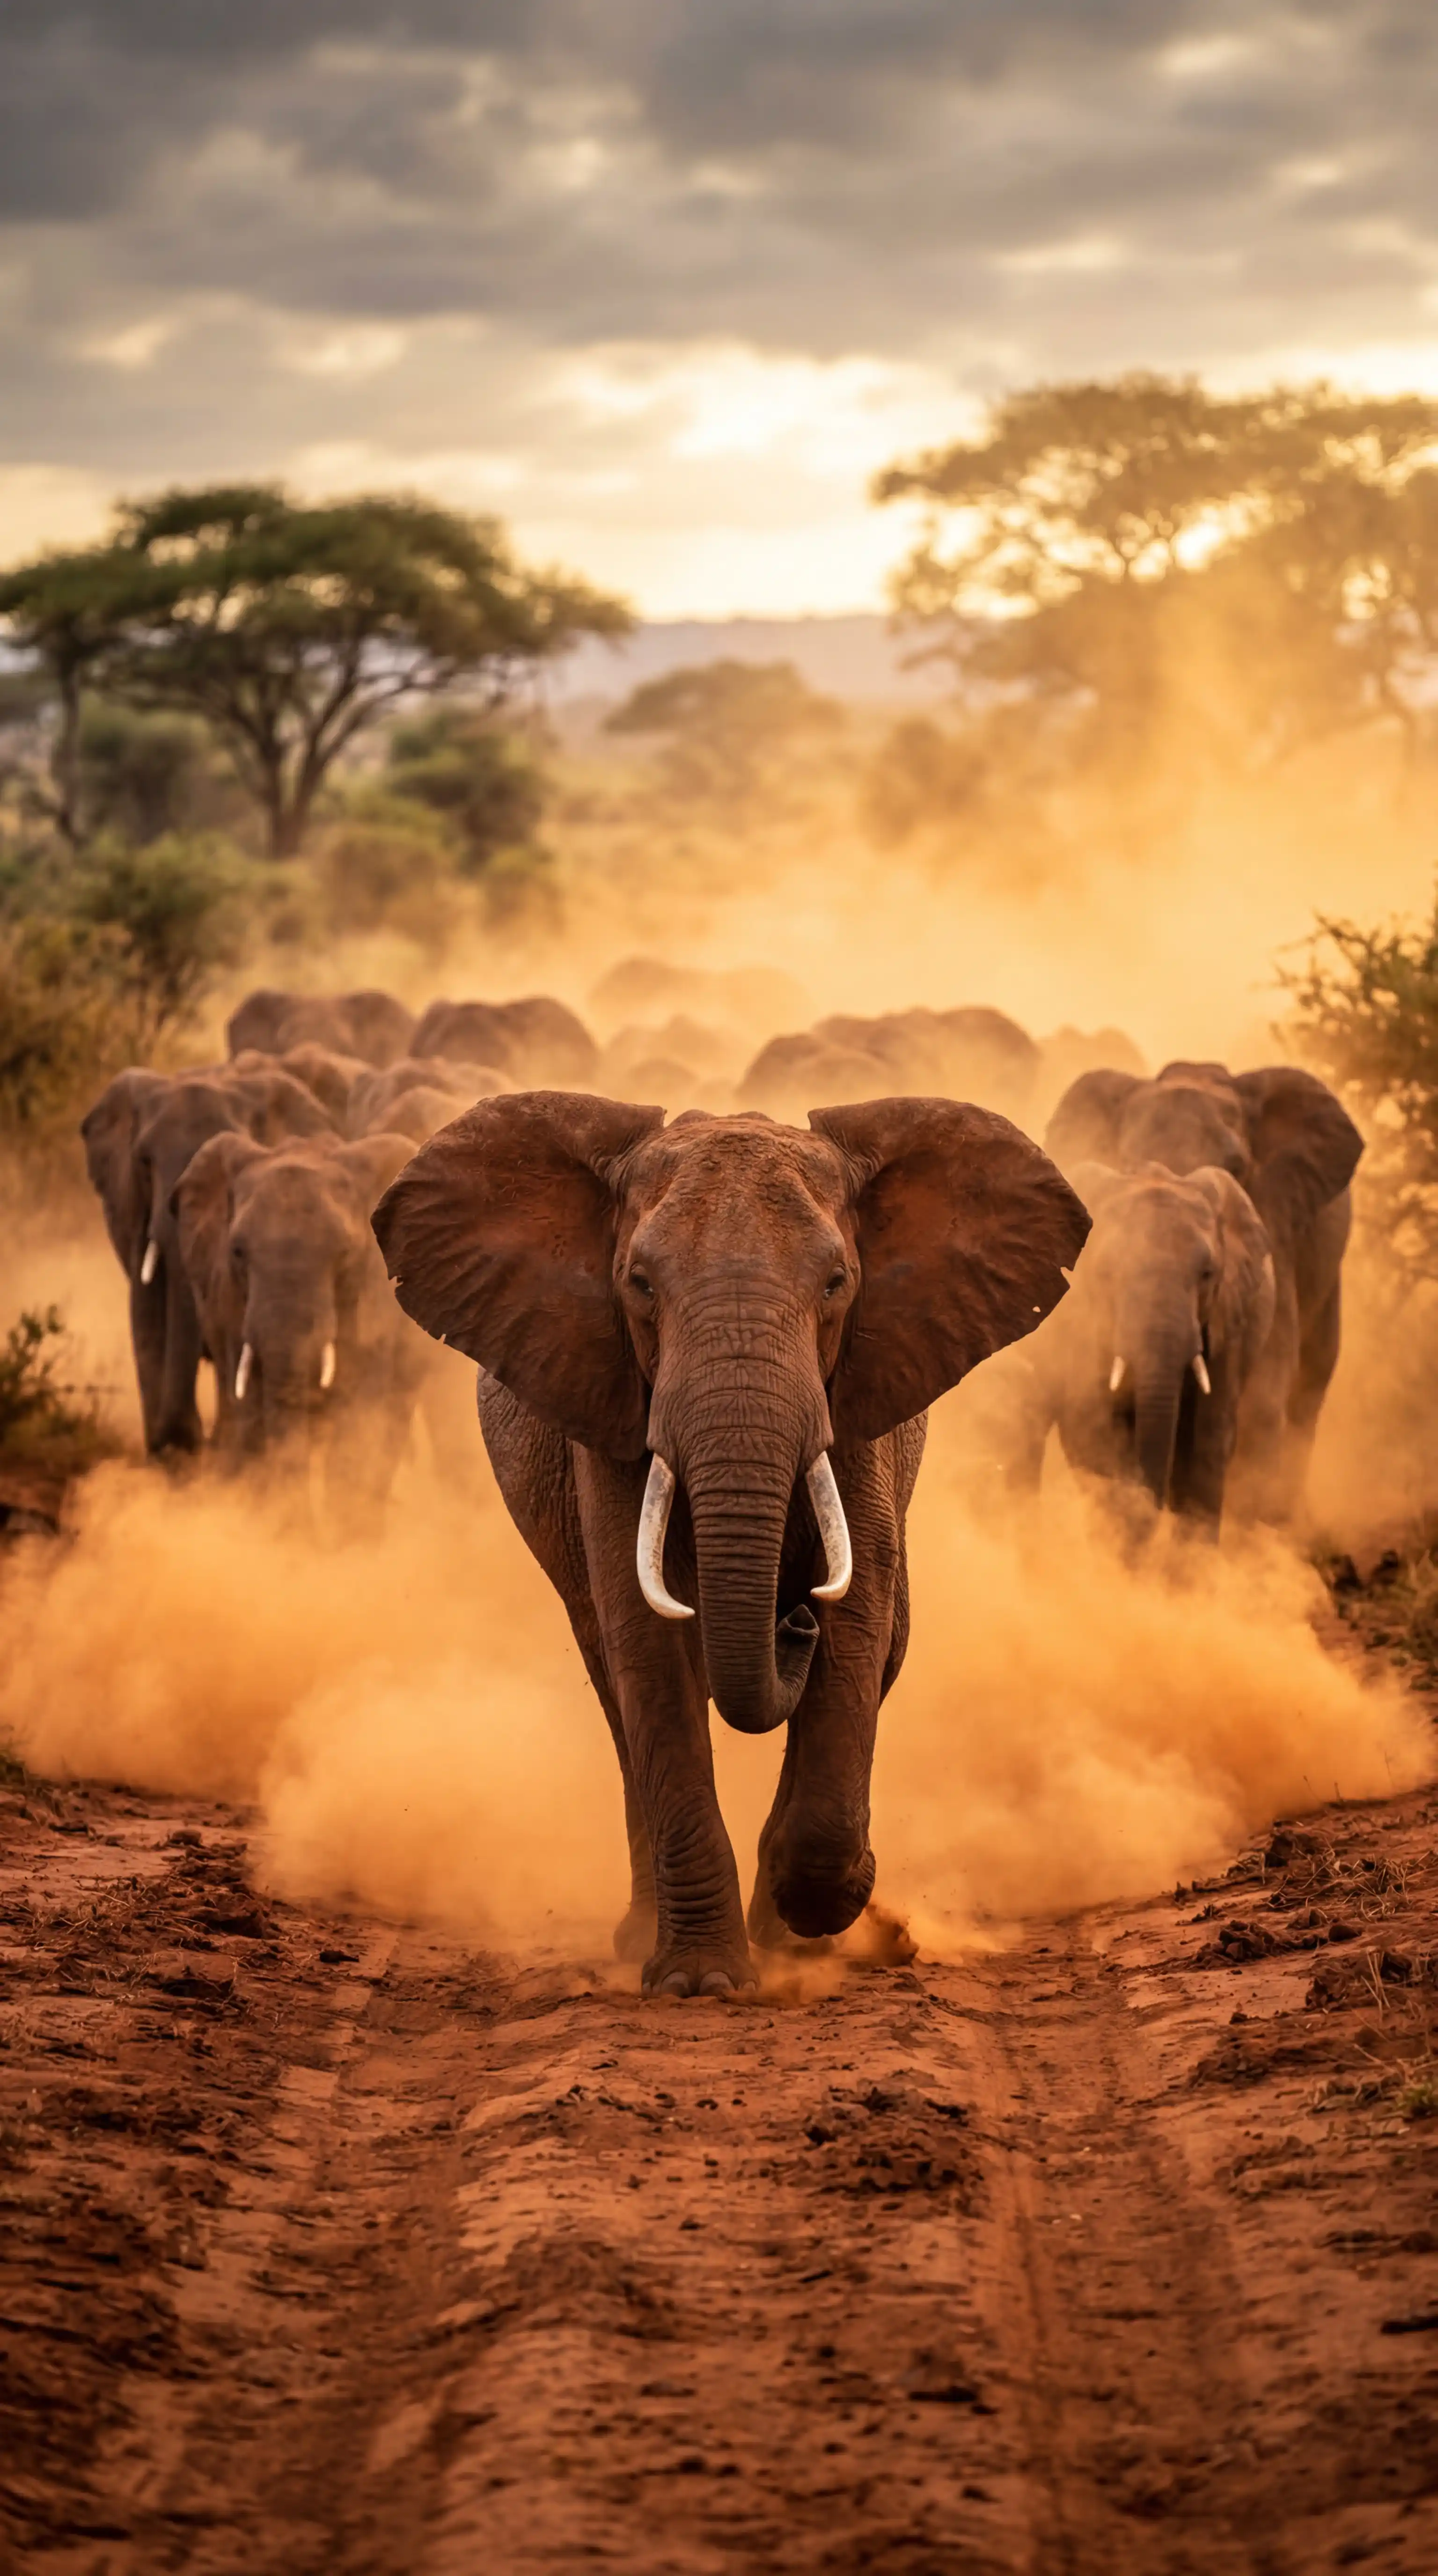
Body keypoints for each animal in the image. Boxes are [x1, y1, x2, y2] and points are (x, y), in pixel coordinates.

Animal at [373, 1091, 1089, 1995]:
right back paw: (646, 1938)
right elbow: (648, 1647)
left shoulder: (859, 1408)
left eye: (837, 1282)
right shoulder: (610, 1411)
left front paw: (815, 1912)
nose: (792, 1620)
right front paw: (702, 1983)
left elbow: (860, 1621)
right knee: (614, 1687)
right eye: (639, 1285)